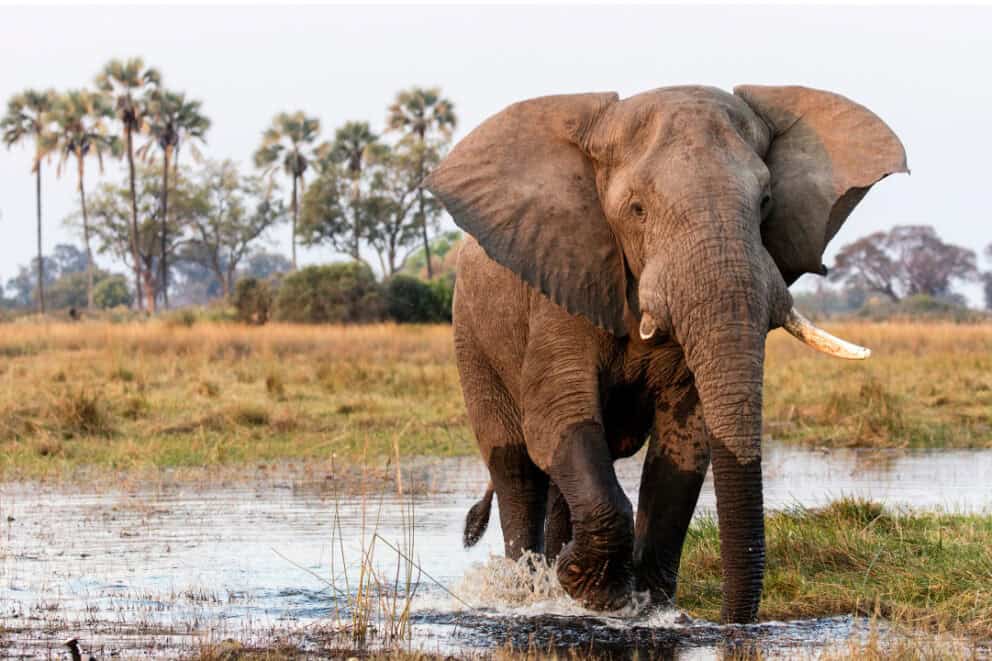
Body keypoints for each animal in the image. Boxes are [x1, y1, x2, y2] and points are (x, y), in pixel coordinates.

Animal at [425, 85, 907, 623]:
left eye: (765, 202)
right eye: (637, 209)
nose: (733, 622)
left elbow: (683, 443)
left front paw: (642, 605)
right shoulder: (562, 285)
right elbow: (557, 418)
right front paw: (591, 591)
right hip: (471, 336)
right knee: (515, 467)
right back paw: (525, 590)